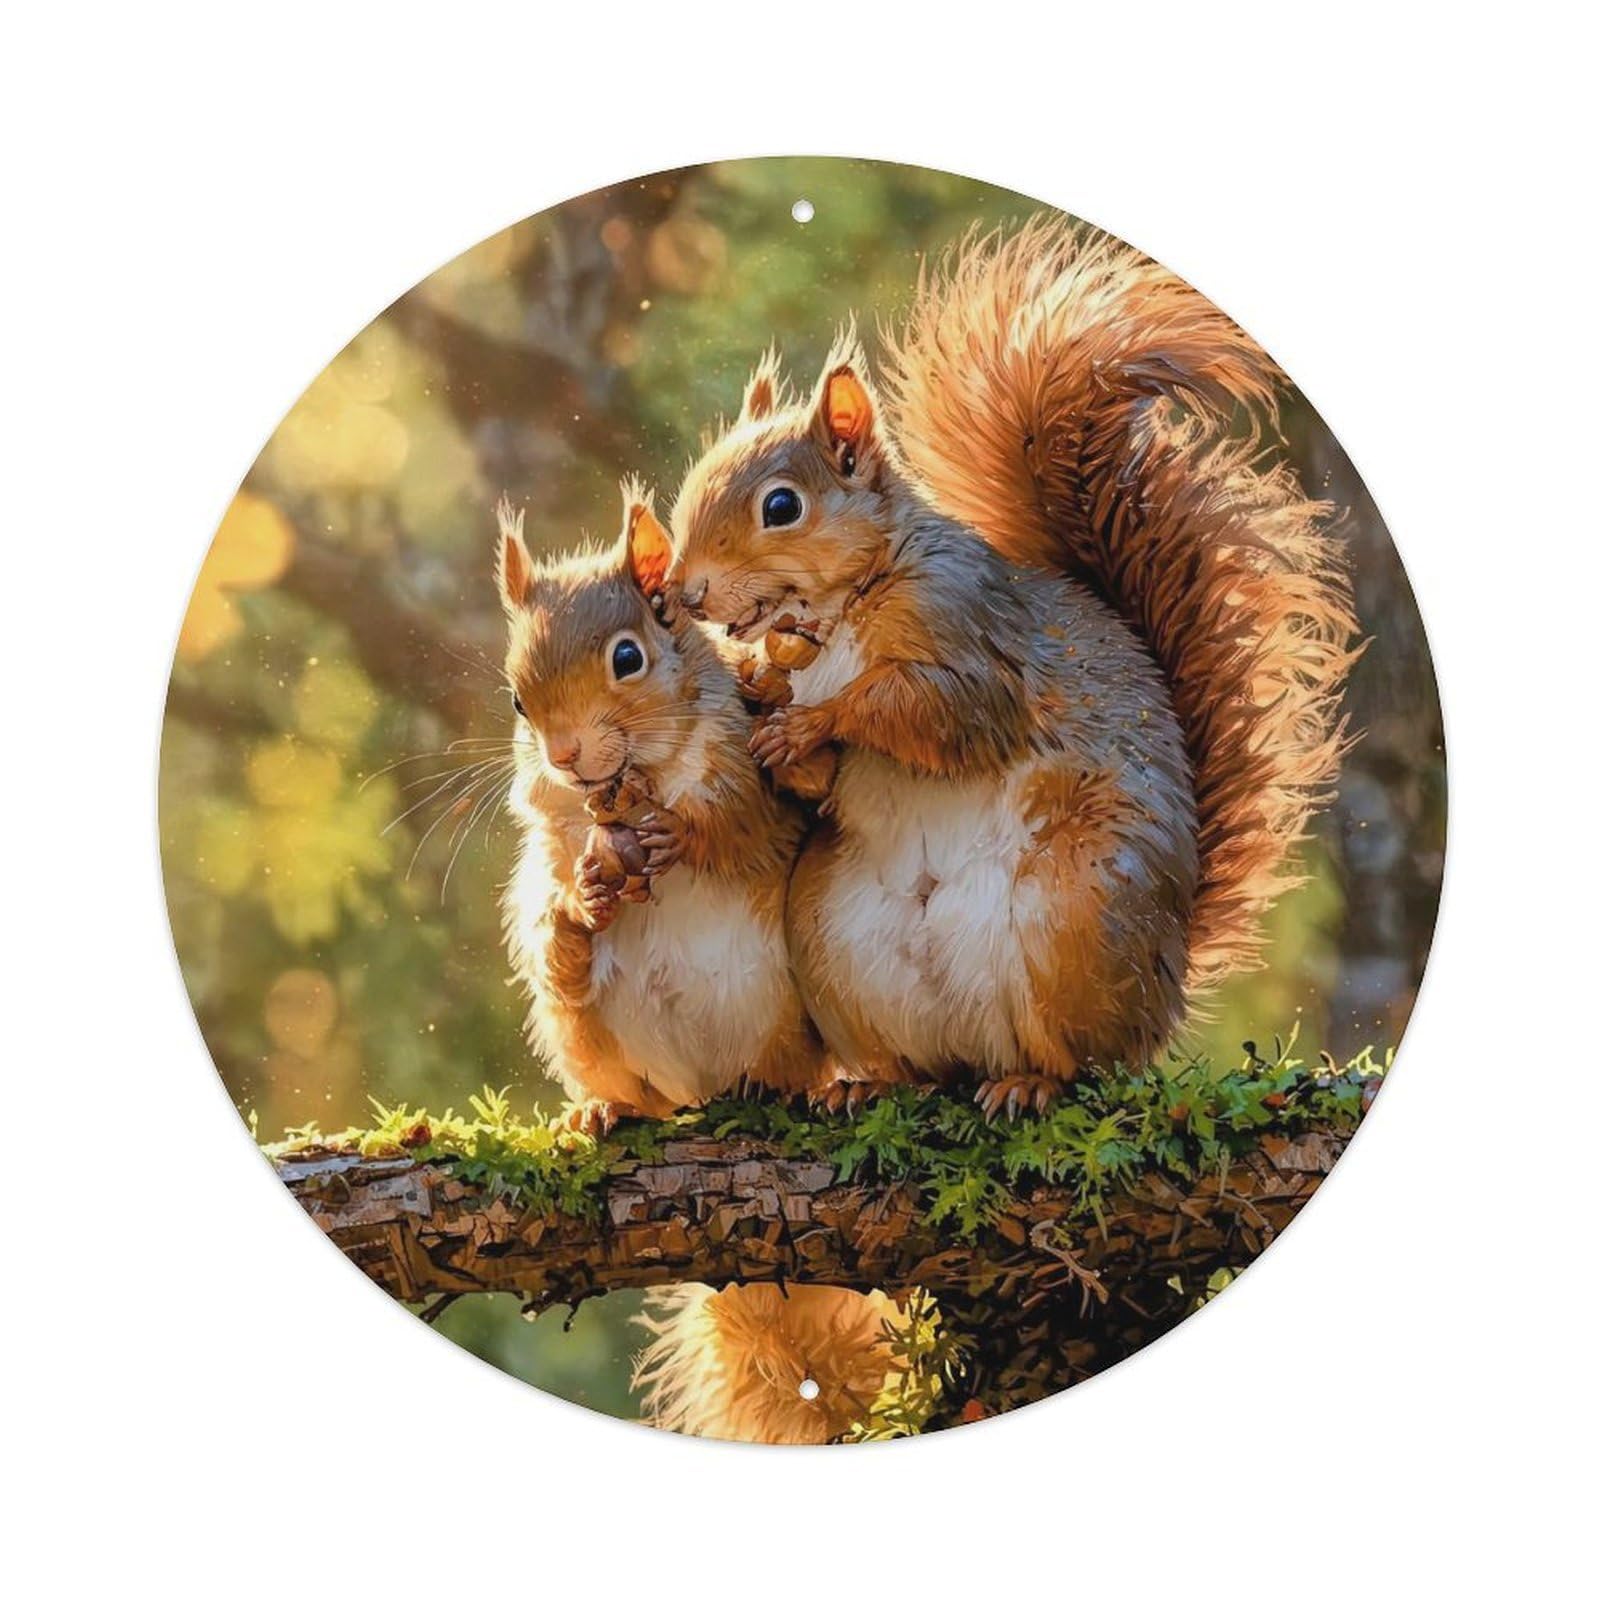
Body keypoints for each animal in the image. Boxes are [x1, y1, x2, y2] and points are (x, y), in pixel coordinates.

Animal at [640, 221, 1356, 1442]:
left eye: (781, 506)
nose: (685, 593)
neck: (833, 613)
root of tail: (1164, 975)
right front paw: (771, 707)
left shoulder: (972, 649)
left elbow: (921, 713)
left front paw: (814, 718)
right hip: (830, 939)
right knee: (925, 1063)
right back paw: (874, 1085)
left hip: (1079, 911)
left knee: (1084, 1062)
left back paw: (1032, 1086)